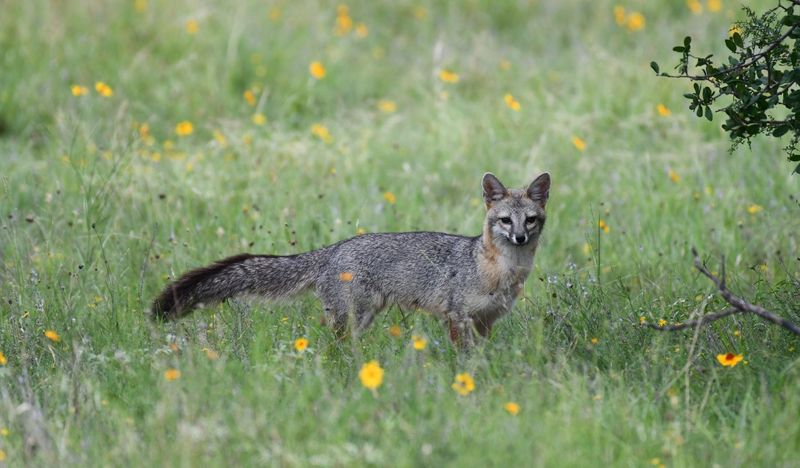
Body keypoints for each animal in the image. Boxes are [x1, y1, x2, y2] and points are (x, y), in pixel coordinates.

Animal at [151, 172, 550, 347]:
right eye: (505, 220)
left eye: (530, 219)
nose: (520, 237)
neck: (501, 271)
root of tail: (333, 248)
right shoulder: (457, 316)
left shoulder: (486, 322)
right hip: (353, 317)